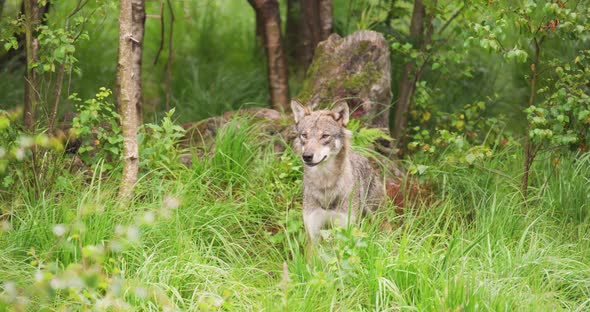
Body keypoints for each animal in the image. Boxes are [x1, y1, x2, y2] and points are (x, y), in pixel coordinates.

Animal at [292, 100, 388, 244]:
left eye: (325, 136)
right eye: (304, 135)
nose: (307, 156)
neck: (324, 184)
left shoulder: (344, 232)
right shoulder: (313, 235)